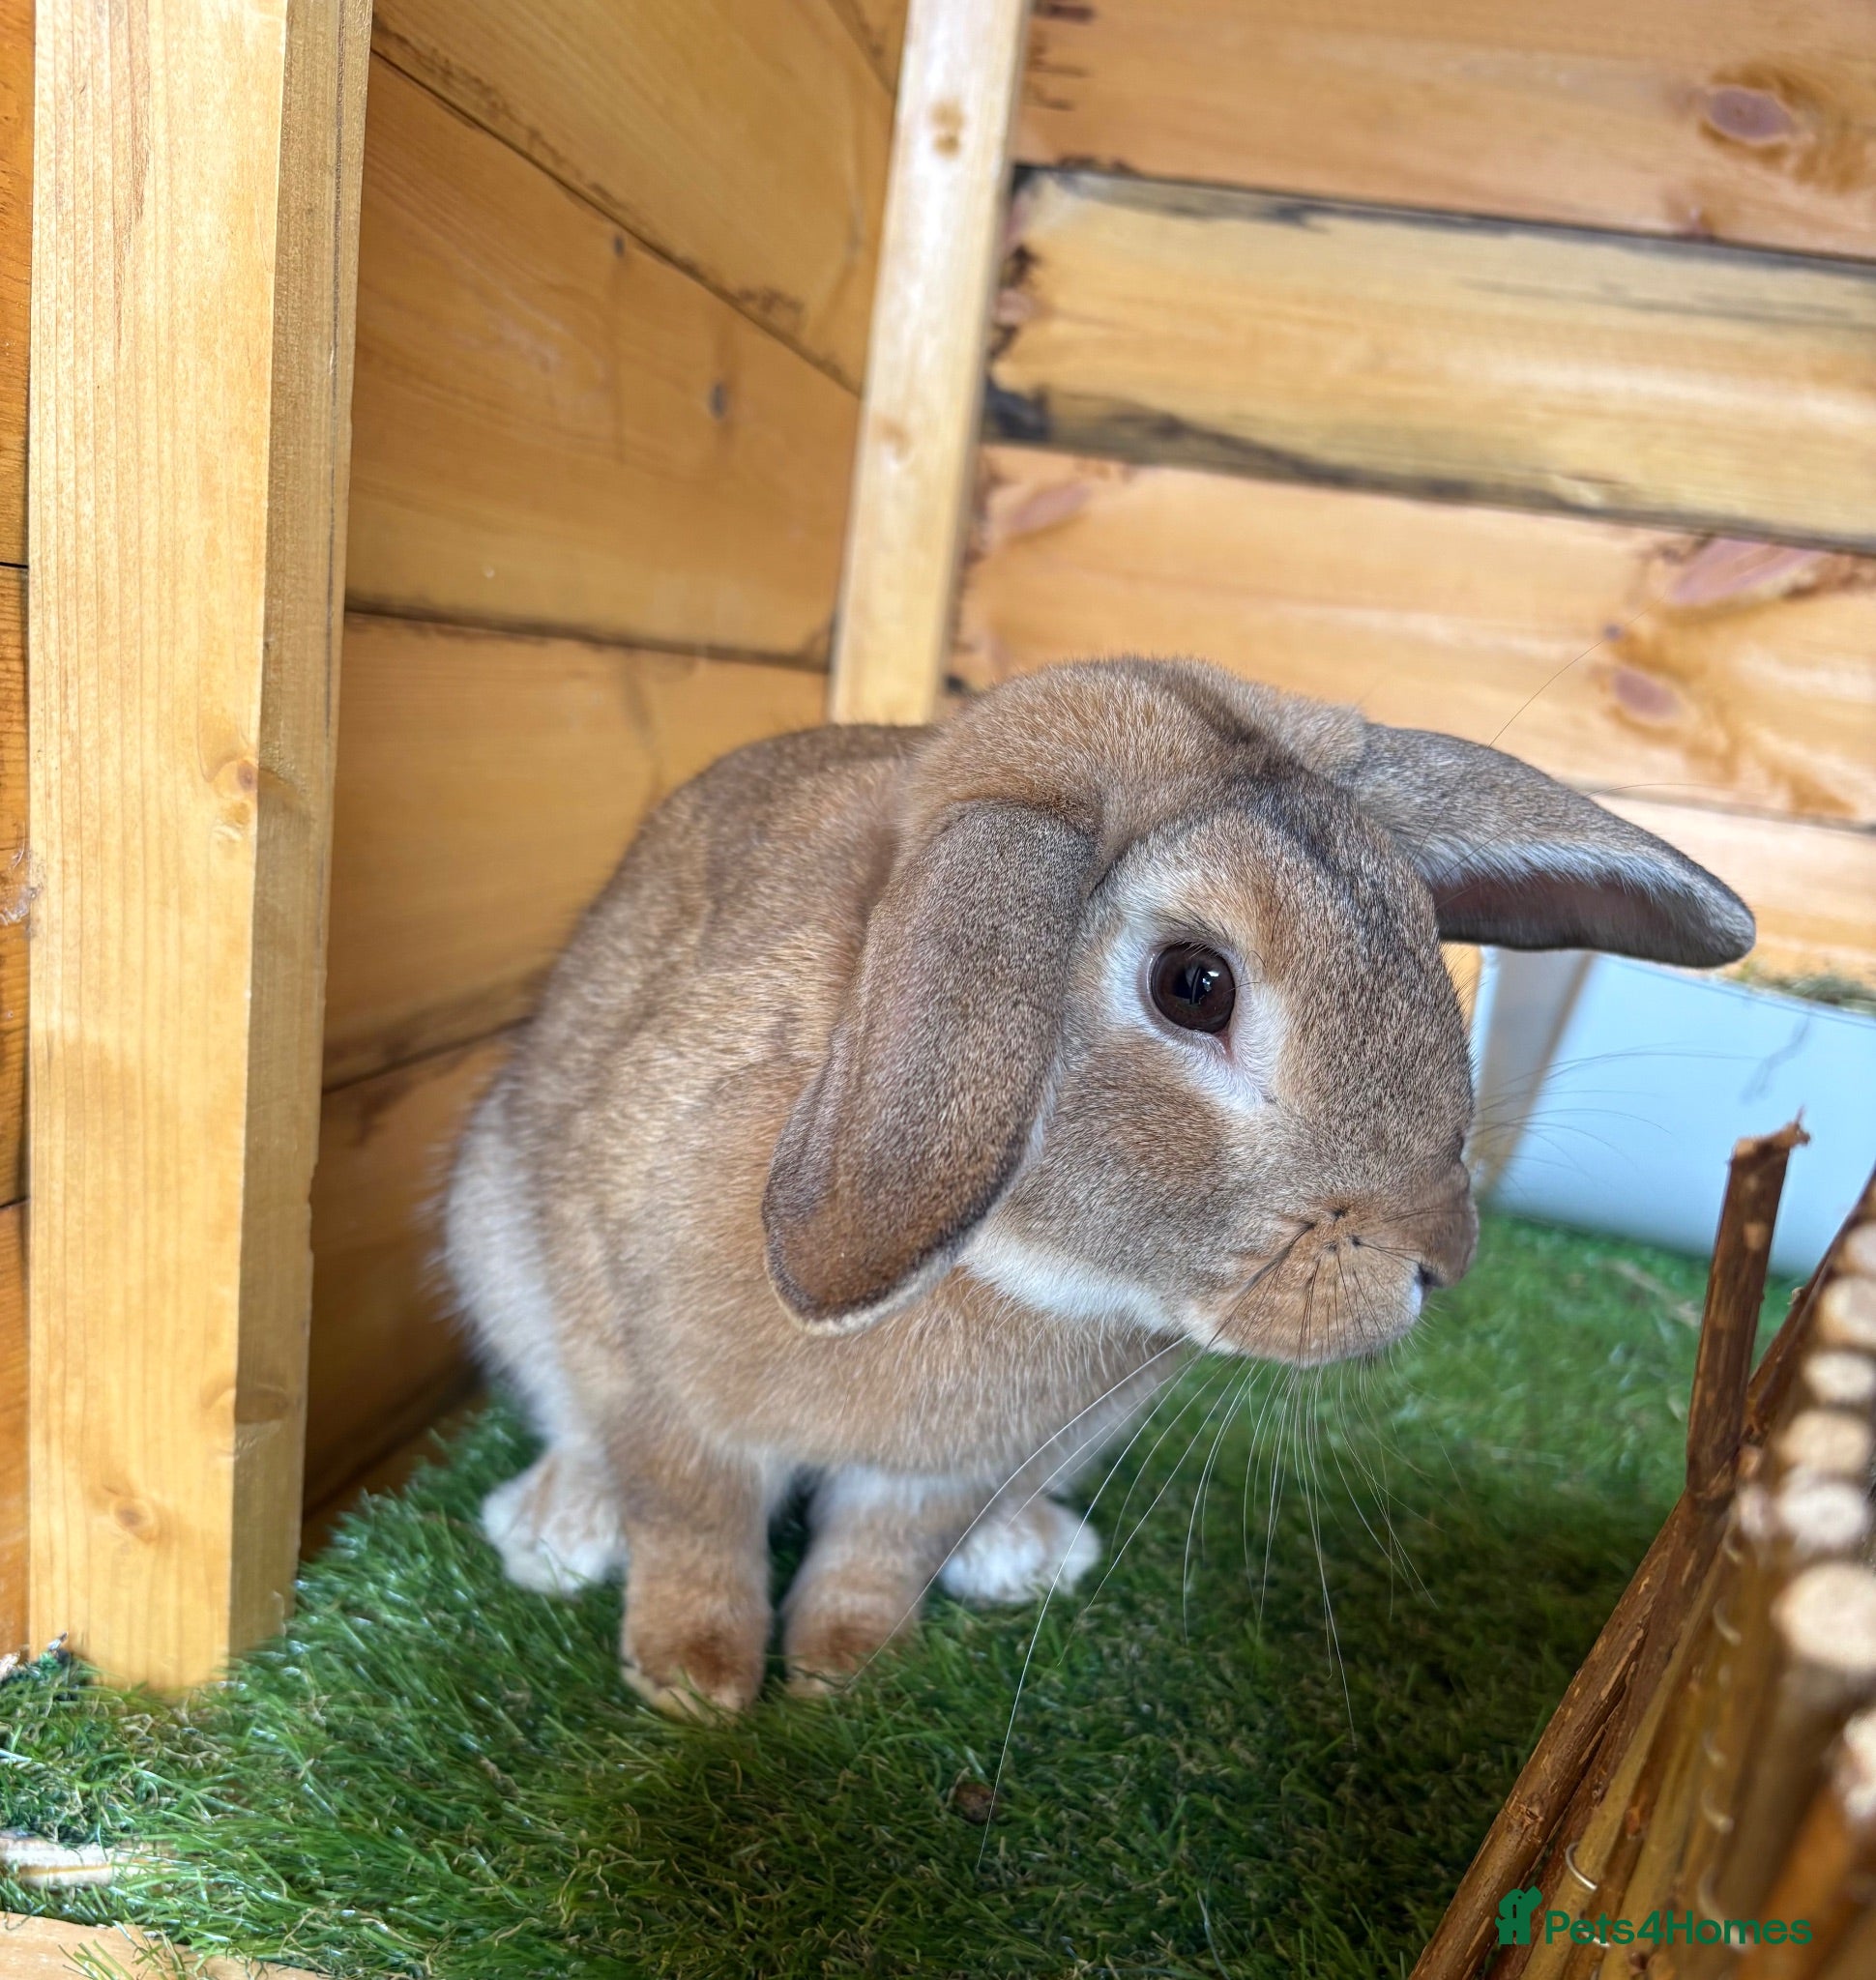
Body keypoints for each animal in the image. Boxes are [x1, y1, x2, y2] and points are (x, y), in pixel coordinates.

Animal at [444, 659, 1753, 1714]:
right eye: (1192, 983)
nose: (1439, 1257)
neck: (999, 1259)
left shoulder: (936, 1473)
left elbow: (878, 1555)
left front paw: (844, 1676)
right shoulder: (655, 1391)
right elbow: (693, 1528)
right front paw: (693, 1688)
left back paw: (1021, 1555)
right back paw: (554, 1529)